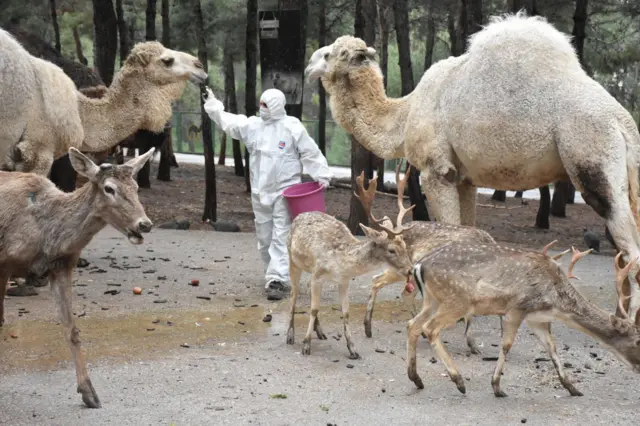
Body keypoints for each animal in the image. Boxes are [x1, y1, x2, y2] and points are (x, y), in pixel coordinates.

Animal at [0, 147, 155, 410]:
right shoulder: (4, 263)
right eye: (109, 188)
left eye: (135, 186)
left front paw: (89, 393)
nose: (144, 224)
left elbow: (71, 329)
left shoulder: (62, 266)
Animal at [284, 205, 416, 358]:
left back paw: (320, 332)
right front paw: (306, 345)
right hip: (292, 260)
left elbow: (346, 312)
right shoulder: (318, 274)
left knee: (306, 288)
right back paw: (290, 335)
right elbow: (314, 309)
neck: (340, 264)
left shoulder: (344, 281)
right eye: (391, 250)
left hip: (310, 270)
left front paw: (353, 349)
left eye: (405, 245)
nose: (410, 270)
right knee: (293, 294)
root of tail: (299, 216)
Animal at [304, 11, 640, 314]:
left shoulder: (437, 171)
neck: (406, 112)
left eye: (331, 53)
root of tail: (622, 122)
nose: (309, 63)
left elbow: (450, 227)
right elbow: (468, 229)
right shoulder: (464, 178)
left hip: (592, 154)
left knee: (629, 245)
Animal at [408, 240, 636, 400]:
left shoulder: (537, 320)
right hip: (458, 300)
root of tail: (419, 265)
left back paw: (416, 378)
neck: (556, 303)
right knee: (430, 328)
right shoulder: (516, 308)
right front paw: (497, 387)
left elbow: (552, 348)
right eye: (637, 341)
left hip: (432, 300)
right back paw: (459, 381)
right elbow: (506, 345)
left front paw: (573, 388)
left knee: (413, 325)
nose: (639, 366)